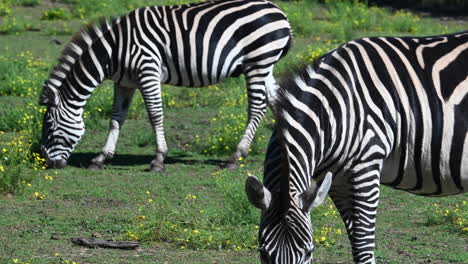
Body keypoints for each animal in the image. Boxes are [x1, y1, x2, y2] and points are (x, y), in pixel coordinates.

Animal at [38, 0, 290, 170]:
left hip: (257, 62)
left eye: (49, 126)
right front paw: (101, 158)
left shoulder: (147, 70)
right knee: (276, 100)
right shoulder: (124, 82)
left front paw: (158, 159)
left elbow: (155, 114)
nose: (46, 162)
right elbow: (116, 118)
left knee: (257, 107)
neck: (114, 51)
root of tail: (278, 10)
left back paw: (235, 156)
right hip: (264, 65)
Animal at [247, 31, 466, 264]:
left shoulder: (367, 166)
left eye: (308, 251)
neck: (335, 109)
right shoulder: (337, 182)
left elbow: (362, 246)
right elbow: (354, 240)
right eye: (263, 252)